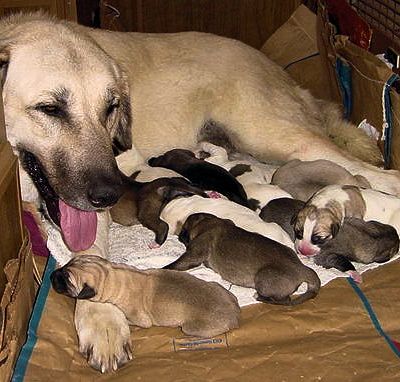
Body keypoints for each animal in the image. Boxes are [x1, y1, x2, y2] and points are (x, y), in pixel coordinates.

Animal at [51, 255, 239, 342]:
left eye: (66, 279)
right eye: (66, 265)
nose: (52, 275)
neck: (110, 275)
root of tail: (236, 314)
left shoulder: (141, 320)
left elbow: (131, 320)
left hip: (190, 328)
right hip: (218, 286)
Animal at [164, 213, 320, 306]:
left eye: (184, 229)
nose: (179, 236)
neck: (210, 222)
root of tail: (302, 268)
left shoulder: (195, 253)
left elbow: (176, 264)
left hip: (263, 279)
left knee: (285, 301)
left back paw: (259, 297)